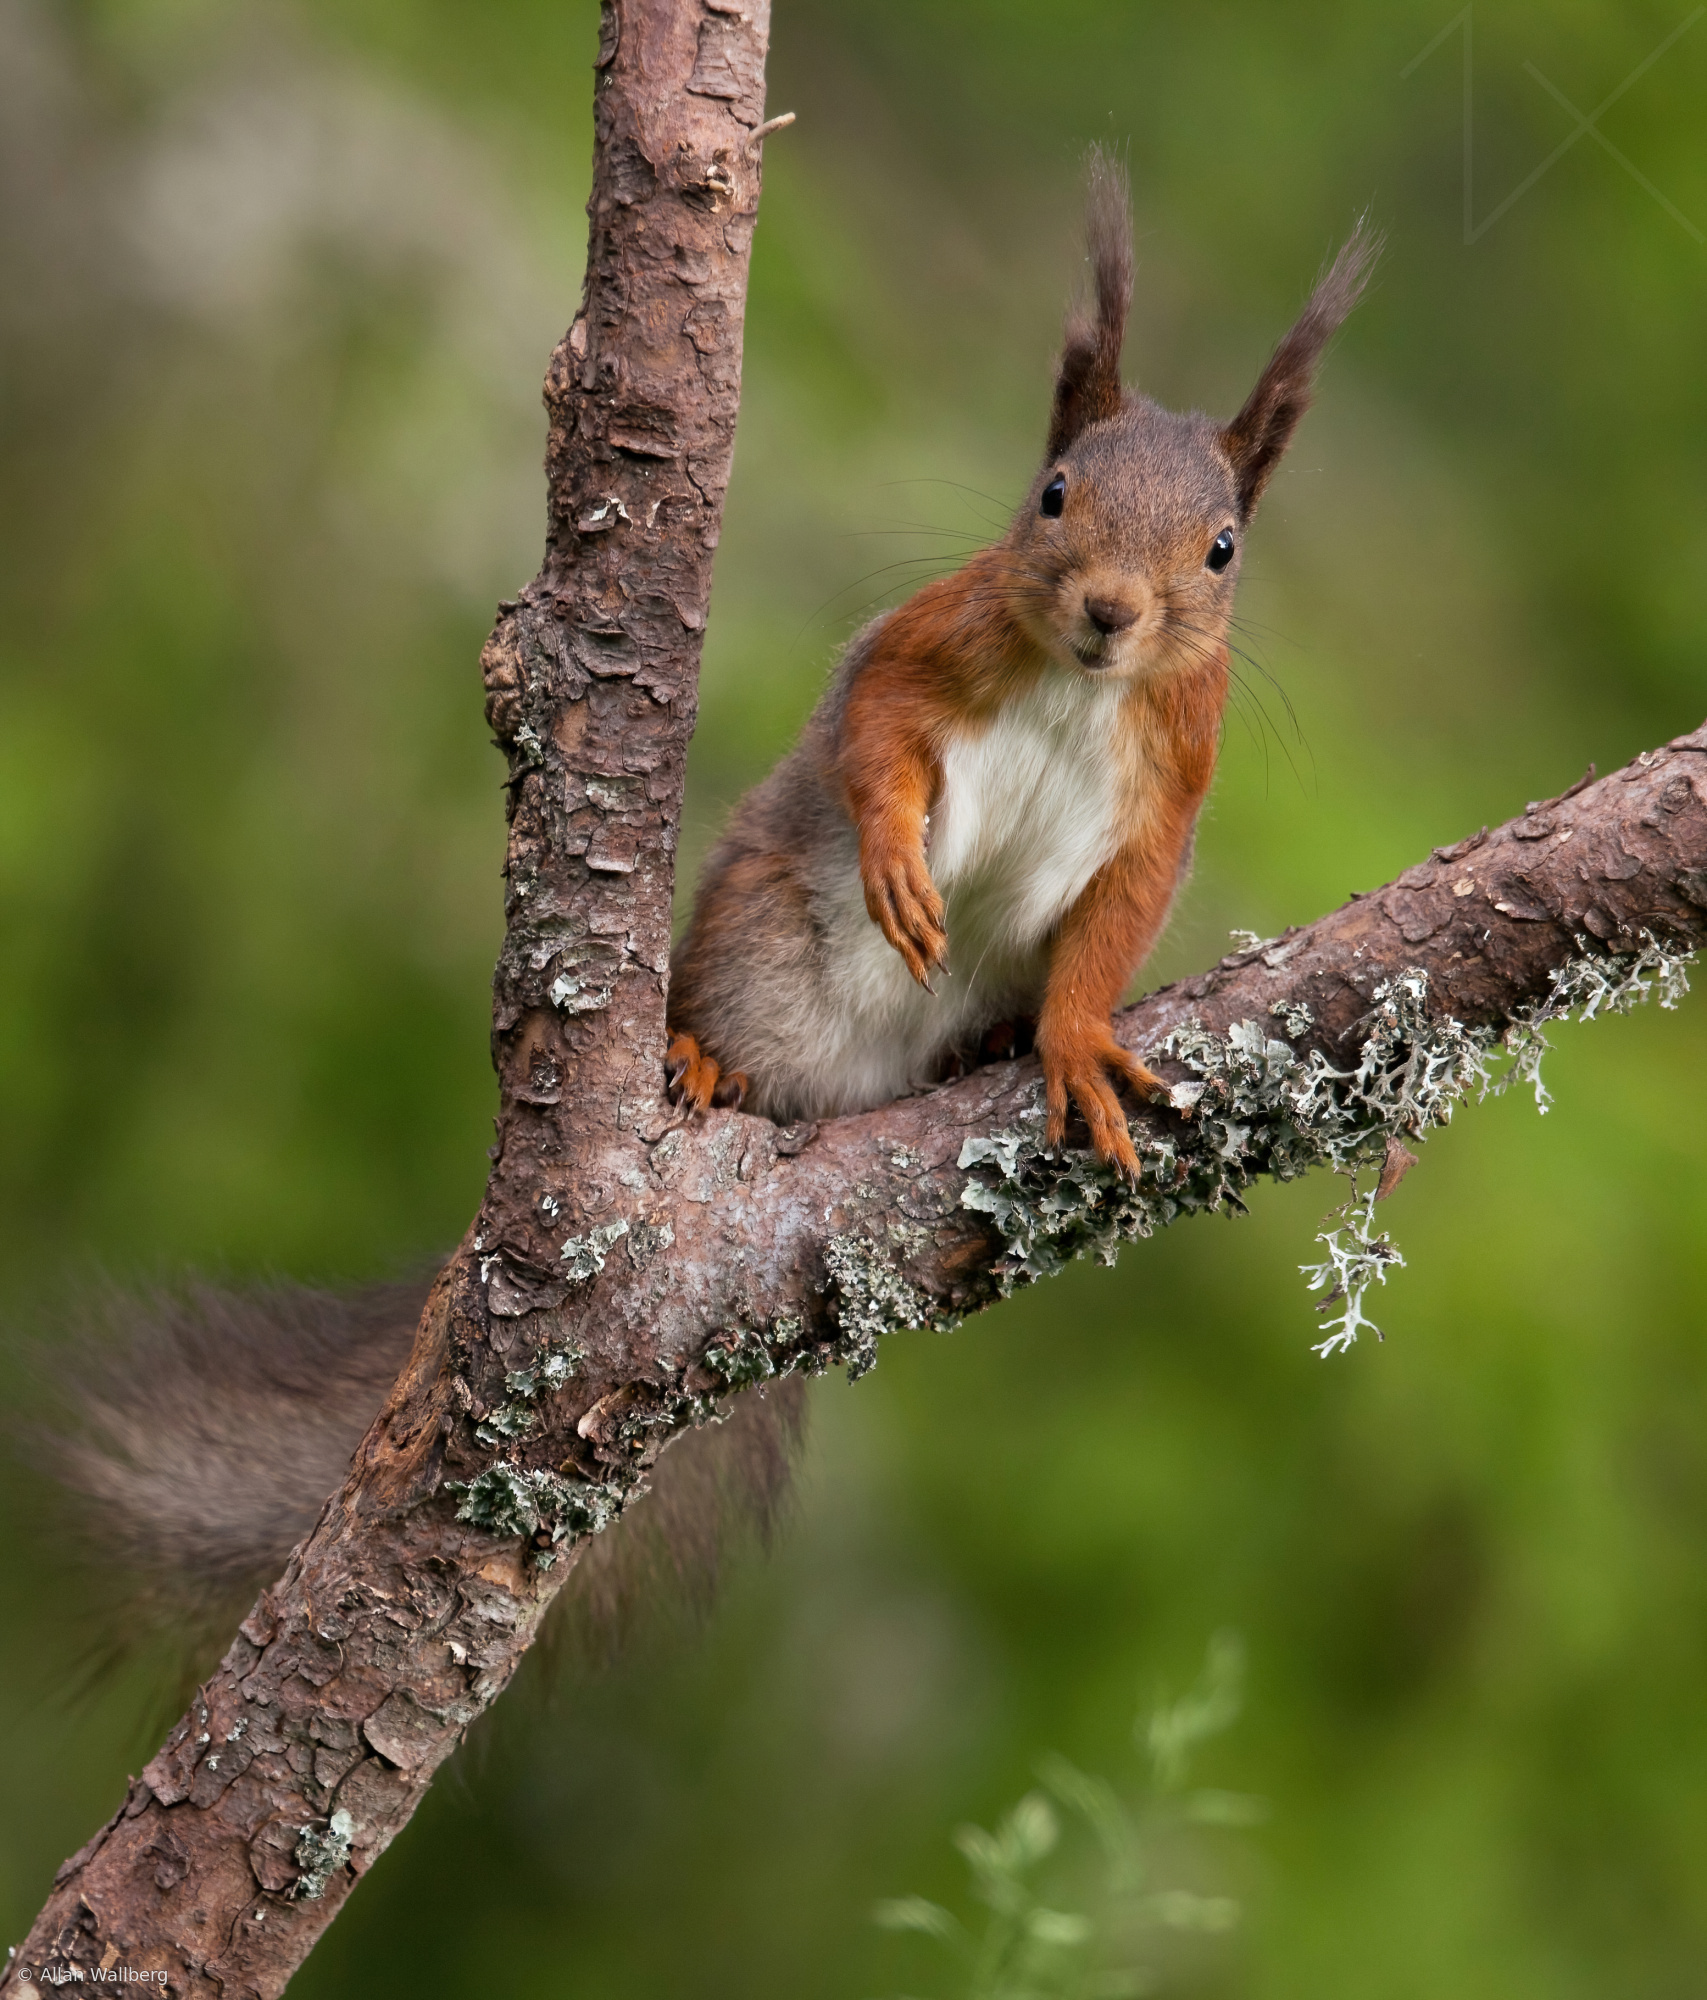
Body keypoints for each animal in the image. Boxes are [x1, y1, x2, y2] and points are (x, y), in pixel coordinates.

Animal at [667, 154, 1374, 1177]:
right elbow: (875, 722)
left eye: (1222, 549)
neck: (1081, 687)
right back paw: (701, 1056)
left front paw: (1071, 1042)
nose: (1111, 609)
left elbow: (1117, 916)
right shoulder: (930, 637)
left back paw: (989, 1040)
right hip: (749, 938)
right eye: (1053, 493)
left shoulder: (1171, 780)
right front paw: (894, 859)